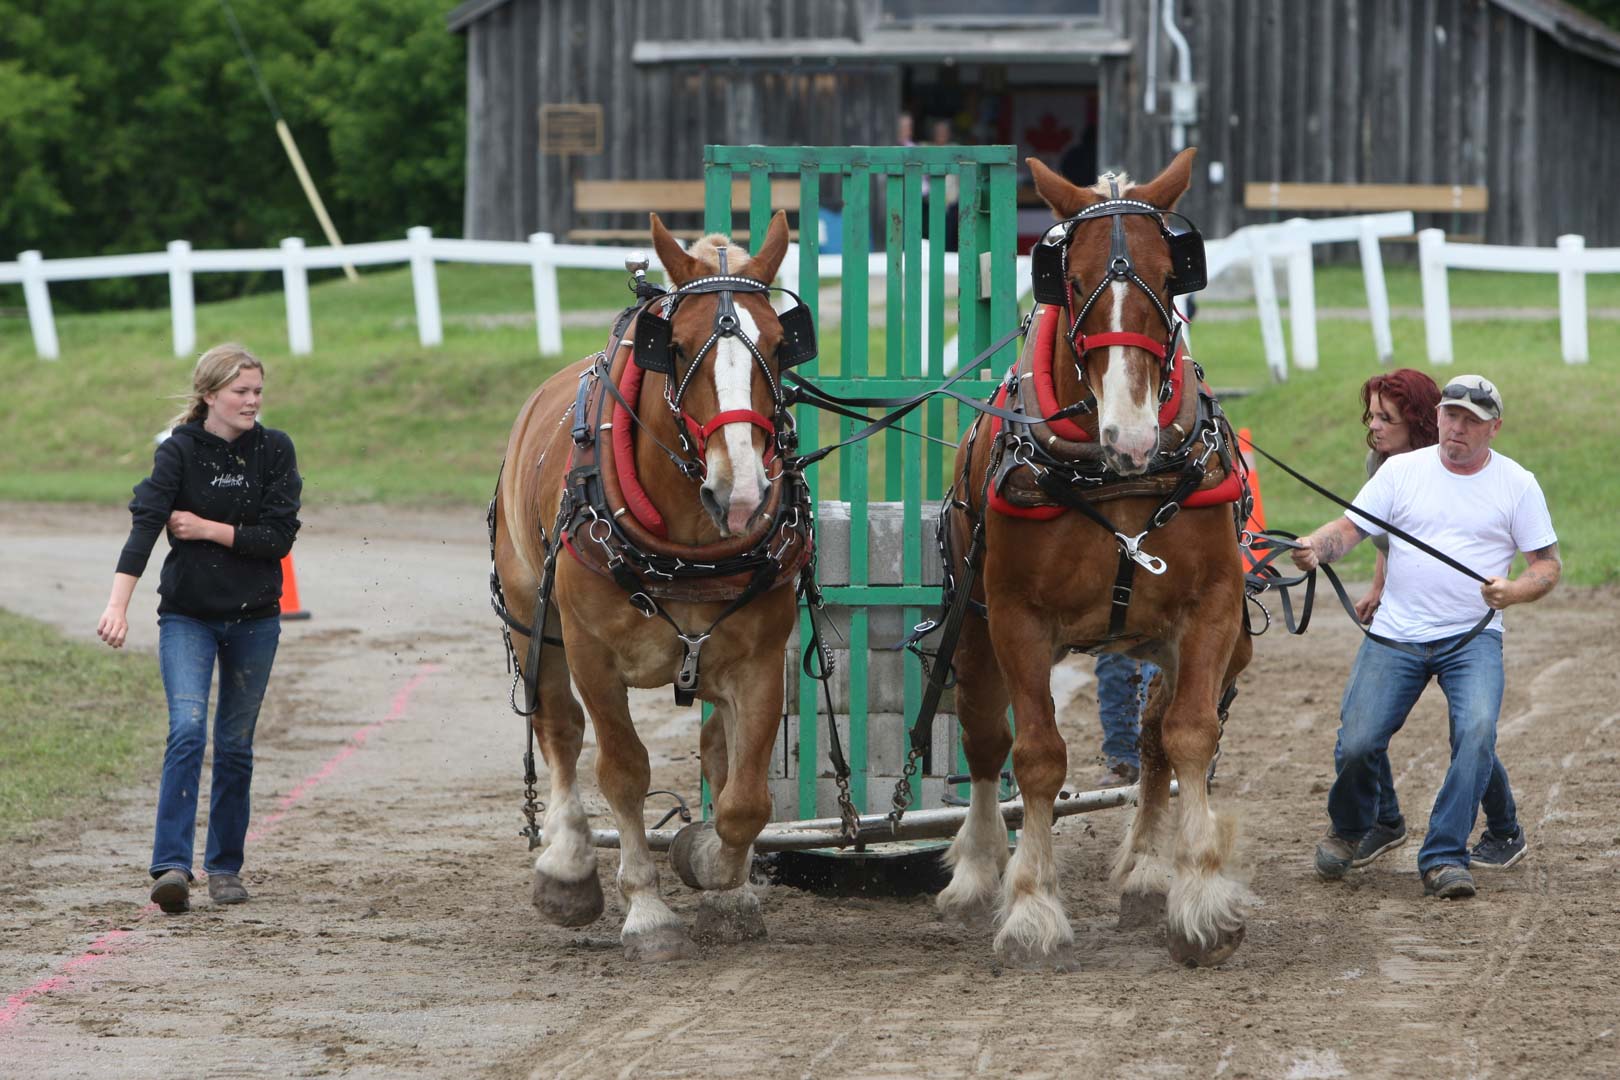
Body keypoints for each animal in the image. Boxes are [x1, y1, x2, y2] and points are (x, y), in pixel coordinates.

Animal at [489, 210, 816, 965]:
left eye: (779, 343)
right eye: (681, 346)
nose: (742, 491)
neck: (690, 542)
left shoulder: (759, 661)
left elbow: (744, 797)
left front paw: (721, 878)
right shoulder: (594, 657)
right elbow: (623, 772)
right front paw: (647, 910)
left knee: (718, 753)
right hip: (533, 621)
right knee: (560, 729)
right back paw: (568, 865)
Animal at [933, 148, 1257, 965]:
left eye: (1172, 276)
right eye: (1069, 280)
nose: (1131, 435)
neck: (1116, 479)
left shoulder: (1212, 608)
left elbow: (1189, 734)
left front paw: (1198, 894)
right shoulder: (1016, 619)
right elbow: (1037, 756)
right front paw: (1030, 906)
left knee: (1153, 734)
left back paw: (1145, 870)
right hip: (973, 633)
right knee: (985, 741)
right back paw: (977, 867)